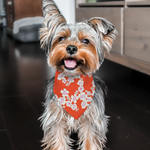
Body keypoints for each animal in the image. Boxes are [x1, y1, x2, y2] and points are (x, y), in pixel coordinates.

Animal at [39, 0, 117, 149]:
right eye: (61, 38)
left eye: (85, 41)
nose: (71, 48)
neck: (73, 83)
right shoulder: (56, 117)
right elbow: (58, 139)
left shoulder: (91, 119)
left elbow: (89, 140)